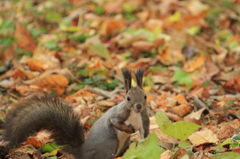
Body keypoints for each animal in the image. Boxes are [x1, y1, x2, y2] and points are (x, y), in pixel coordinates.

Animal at [2, 67, 149, 158]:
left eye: (145, 96)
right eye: (128, 98)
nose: (139, 106)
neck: (134, 114)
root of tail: (82, 153)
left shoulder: (144, 120)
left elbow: (145, 135)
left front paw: (145, 144)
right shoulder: (118, 113)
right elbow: (114, 121)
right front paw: (128, 129)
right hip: (110, 145)